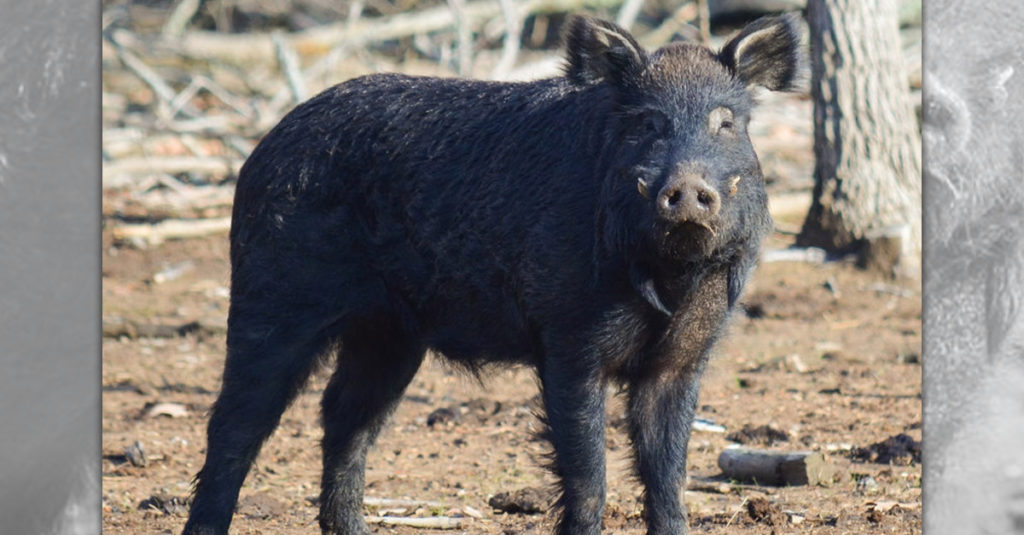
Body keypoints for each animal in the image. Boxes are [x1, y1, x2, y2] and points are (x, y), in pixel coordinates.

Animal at [183, 13, 804, 535]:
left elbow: (668, 474)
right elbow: (588, 472)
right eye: (648, 122)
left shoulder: (683, 356)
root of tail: (260, 149)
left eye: (726, 122)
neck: (669, 278)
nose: (687, 187)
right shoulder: (569, 338)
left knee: (343, 417)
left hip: (389, 335)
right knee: (235, 425)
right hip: (273, 298)